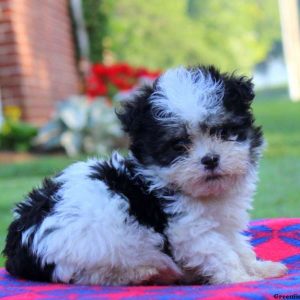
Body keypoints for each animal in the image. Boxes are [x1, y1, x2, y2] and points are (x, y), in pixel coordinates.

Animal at [3, 65, 288, 286]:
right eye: (178, 145)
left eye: (223, 132)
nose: (210, 159)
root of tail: (20, 235)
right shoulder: (188, 229)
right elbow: (220, 252)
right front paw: (241, 279)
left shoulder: (223, 223)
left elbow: (237, 246)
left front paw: (259, 268)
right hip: (82, 247)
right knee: (89, 274)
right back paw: (144, 273)